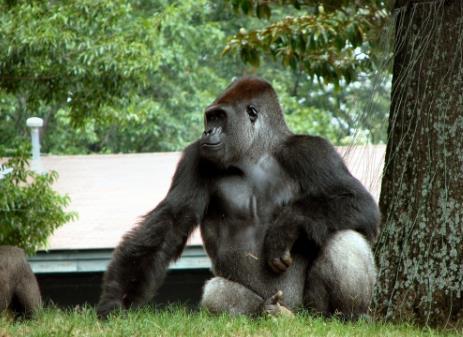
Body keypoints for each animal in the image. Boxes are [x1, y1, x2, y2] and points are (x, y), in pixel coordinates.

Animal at [97, 76, 380, 318]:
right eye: (209, 118)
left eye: (219, 117)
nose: (207, 133)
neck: (256, 151)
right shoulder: (196, 157)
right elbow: (171, 220)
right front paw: (115, 300)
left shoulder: (314, 150)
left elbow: (358, 200)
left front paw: (286, 227)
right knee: (217, 293)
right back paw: (271, 312)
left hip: (311, 312)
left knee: (346, 237)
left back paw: (347, 317)